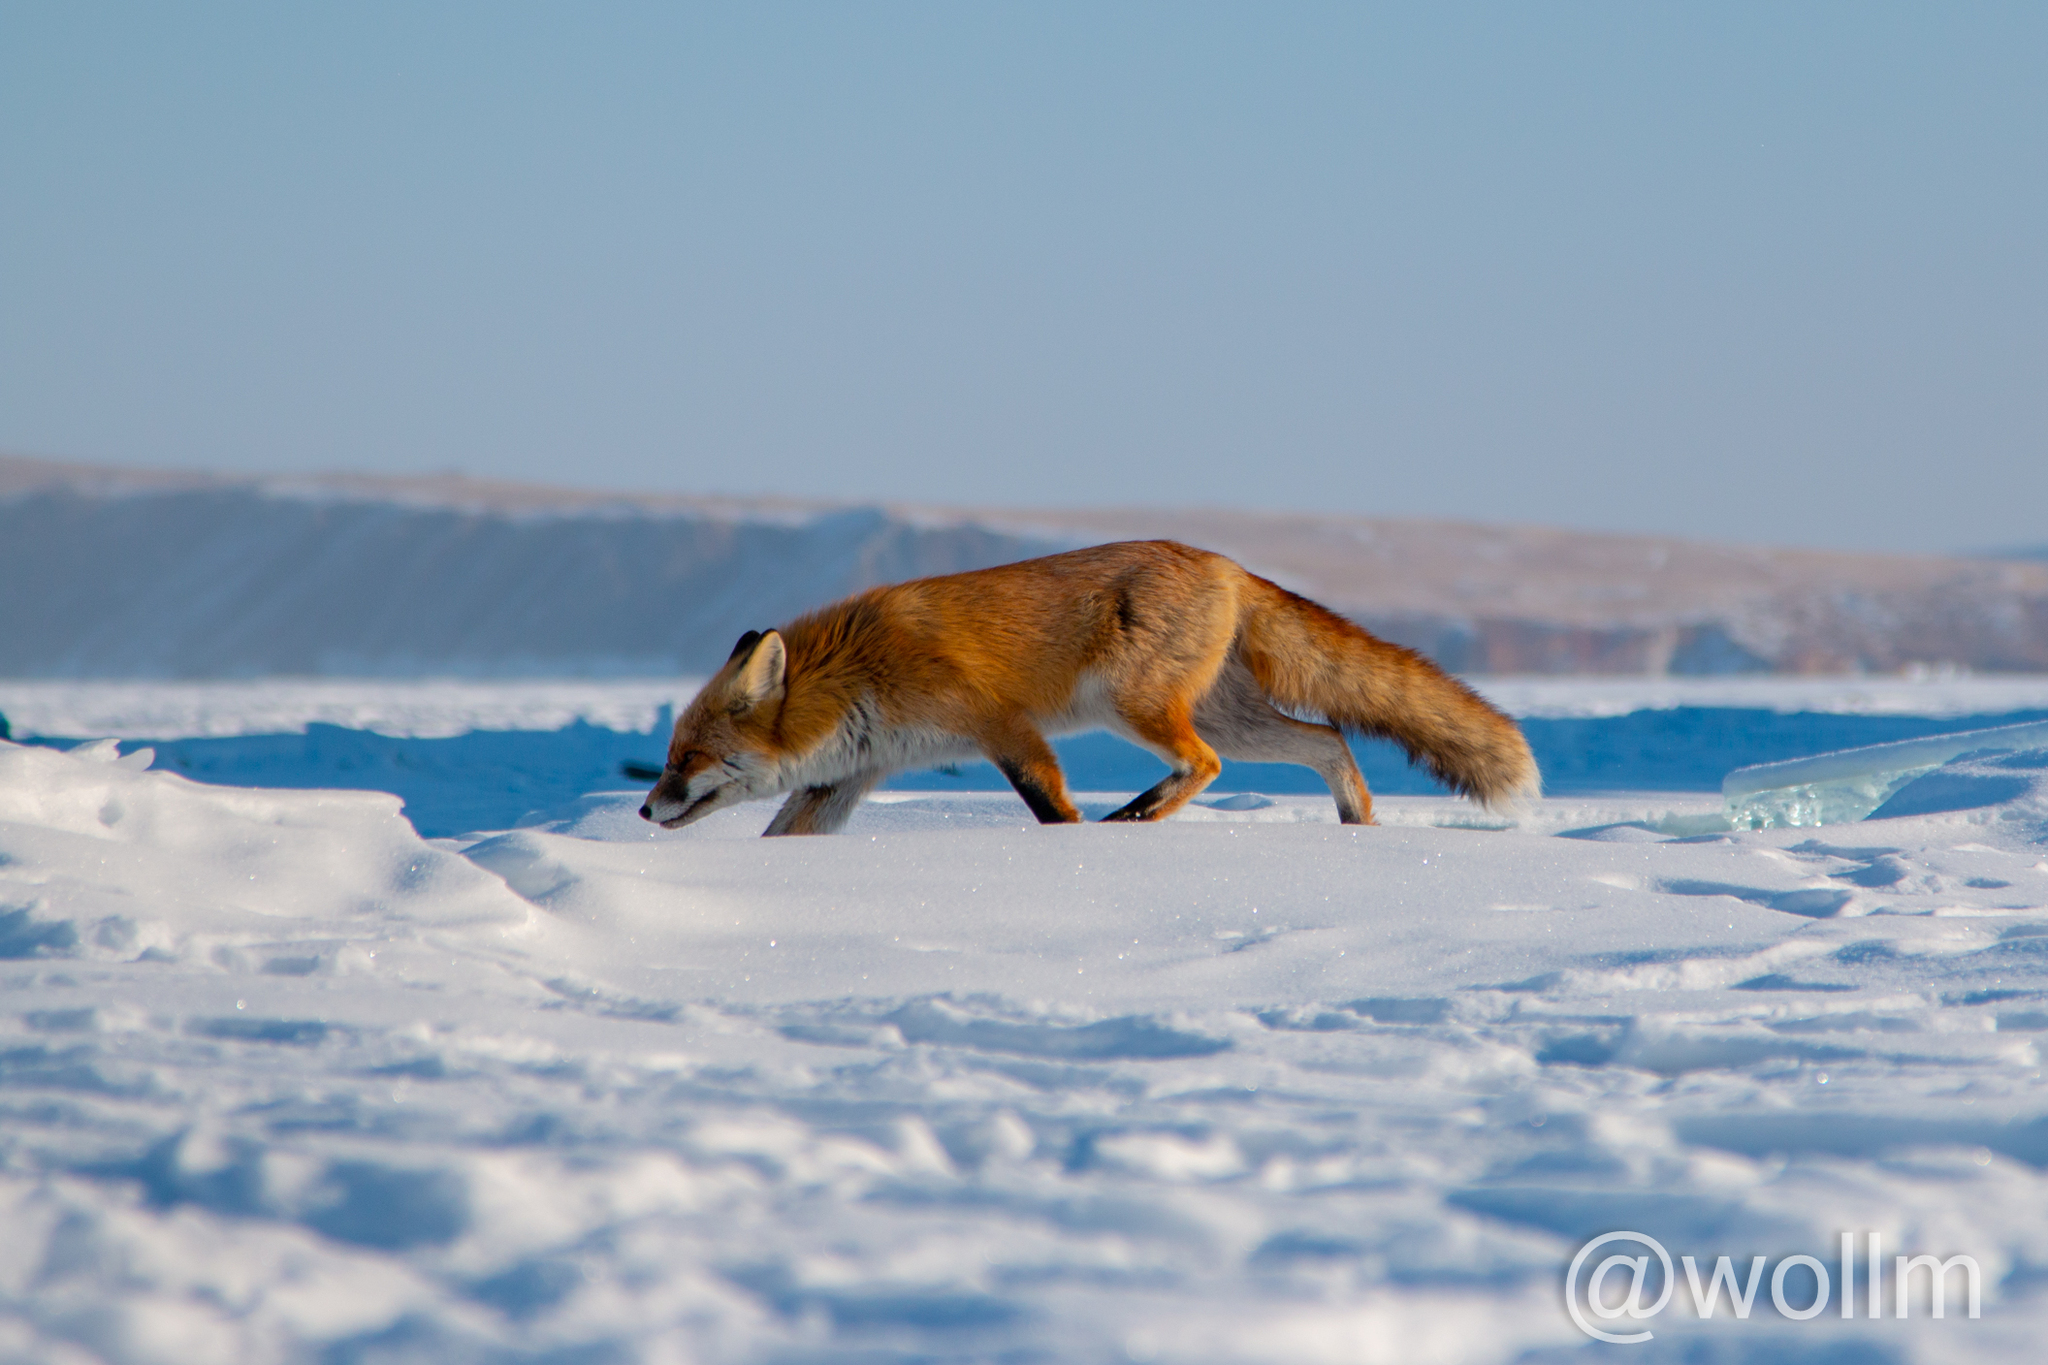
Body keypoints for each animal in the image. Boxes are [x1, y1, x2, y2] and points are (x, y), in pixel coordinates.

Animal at [638, 540, 1540, 834]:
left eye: (687, 757)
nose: (644, 809)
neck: (857, 673)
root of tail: (1225, 562)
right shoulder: (850, 773)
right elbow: (784, 837)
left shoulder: (999, 724)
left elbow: (1046, 801)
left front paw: (1070, 846)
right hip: (1234, 717)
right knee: (1329, 739)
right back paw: (1359, 828)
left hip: (1132, 704)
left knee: (1205, 765)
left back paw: (1134, 818)